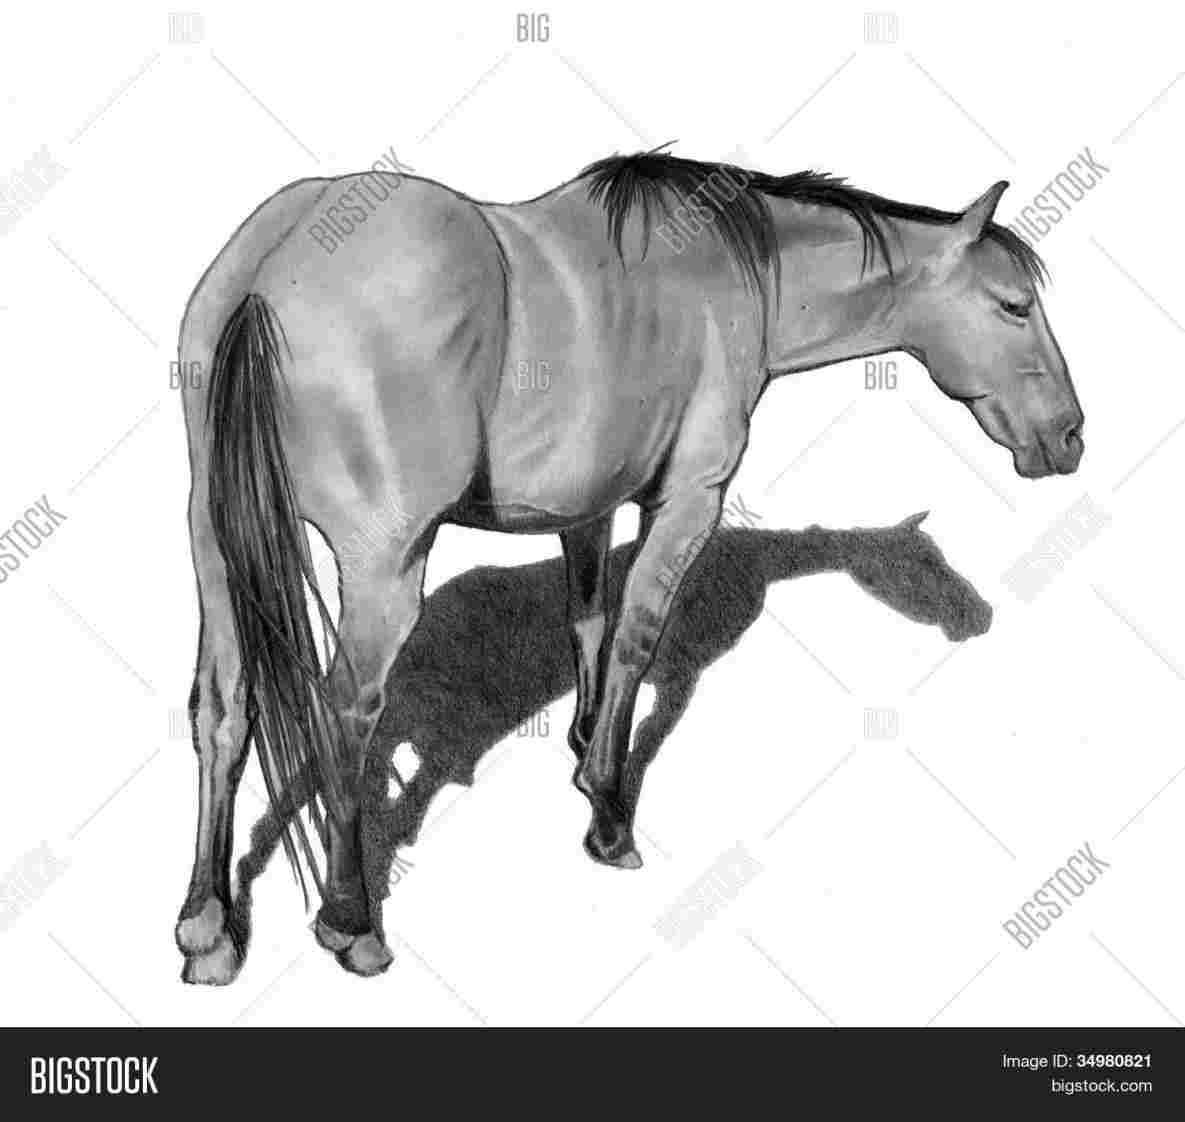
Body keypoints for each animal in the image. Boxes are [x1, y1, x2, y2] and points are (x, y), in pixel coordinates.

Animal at [175, 148, 1083, 984]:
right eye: (1013, 305)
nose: (1068, 437)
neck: (731, 269)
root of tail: (269, 269)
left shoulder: (586, 508)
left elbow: (589, 621)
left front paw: (584, 754)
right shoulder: (686, 504)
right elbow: (637, 641)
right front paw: (609, 817)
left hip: (215, 552)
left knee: (221, 712)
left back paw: (207, 927)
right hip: (381, 571)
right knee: (345, 716)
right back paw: (350, 920)